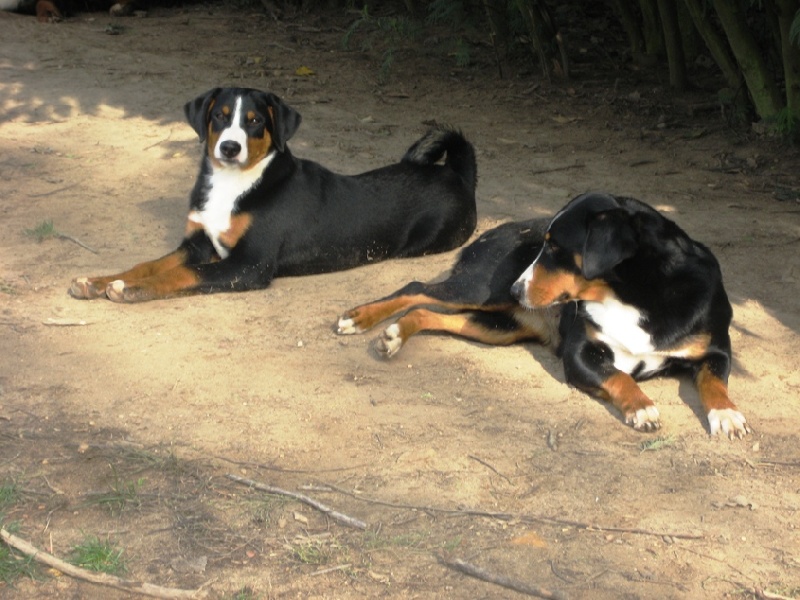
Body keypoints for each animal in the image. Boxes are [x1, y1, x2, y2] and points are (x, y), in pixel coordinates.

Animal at [69, 86, 476, 302]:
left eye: (255, 121)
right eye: (220, 115)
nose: (230, 147)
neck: (233, 184)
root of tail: (456, 174)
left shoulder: (250, 264)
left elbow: (185, 274)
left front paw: (132, 288)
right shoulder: (198, 243)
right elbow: (149, 263)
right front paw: (100, 280)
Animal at [338, 193, 752, 440]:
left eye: (554, 248)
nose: (517, 291)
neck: (635, 296)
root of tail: (492, 231)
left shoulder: (715, 350)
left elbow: (714, 383)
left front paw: (727, 415)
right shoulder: (580, 355)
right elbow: (619, 376)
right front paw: (641, 406)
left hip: (496, 326)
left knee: (427, 311)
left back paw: (394, 336)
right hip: (480, 289)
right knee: (416, 286)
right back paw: (360, 318)